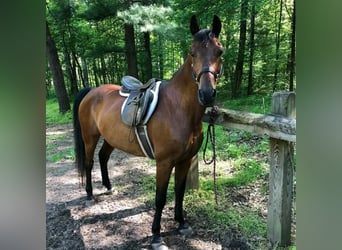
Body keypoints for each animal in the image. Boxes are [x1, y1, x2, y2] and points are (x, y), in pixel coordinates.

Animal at [73, 15, 224, 248]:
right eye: (192, 53)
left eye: (220, 51)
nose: (207, 94)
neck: (178, 108)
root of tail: (91, 91)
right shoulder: (164, 162)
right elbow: (160, 198)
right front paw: (156, 236)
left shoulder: (185, 160)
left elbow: (179, 191)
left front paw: (181, 223)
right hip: (90, 137)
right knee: (89, 163)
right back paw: (90, 195)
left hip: (110, 139)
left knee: (103, 157)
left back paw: (108, 186)